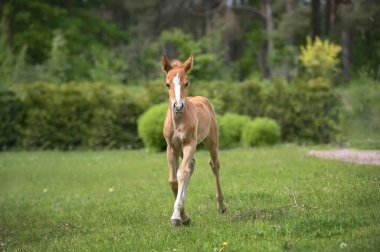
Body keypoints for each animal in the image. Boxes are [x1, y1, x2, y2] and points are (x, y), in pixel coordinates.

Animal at [160, 54, 226, 226]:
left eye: (186, 82)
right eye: (167, 84)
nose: (178, 106)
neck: (178, 121)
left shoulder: (190, 144)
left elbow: (182, 173)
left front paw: (177, 217)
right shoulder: (171, 148)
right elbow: (173, 180)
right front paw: (183, 216)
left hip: (211, 142)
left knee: (214, 165)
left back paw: (221, 206)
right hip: (181, 150)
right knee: (192, 165)